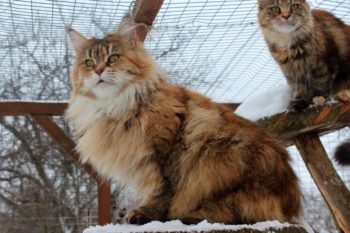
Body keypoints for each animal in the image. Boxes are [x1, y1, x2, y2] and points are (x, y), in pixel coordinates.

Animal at [65, 15, 300, 224]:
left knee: (234, 212)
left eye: (113, 58)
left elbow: (161, 189)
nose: (98, 70)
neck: (116, 105)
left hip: (223, 158)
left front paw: (144, 213)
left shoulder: (164, 152)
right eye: (88, 63)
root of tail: (289, 206)